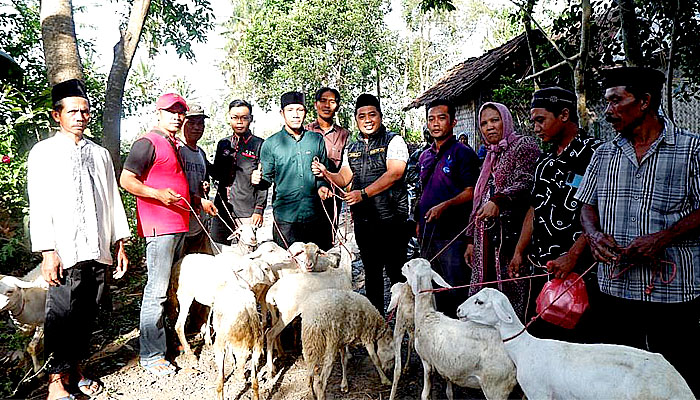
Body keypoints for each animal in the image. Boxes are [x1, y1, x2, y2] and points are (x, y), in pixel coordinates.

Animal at [402, 260, 516, 400]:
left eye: (408, 266)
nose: (402, 268)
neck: (426, 315)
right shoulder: (447, 367)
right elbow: (449, 392)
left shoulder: (426, 361)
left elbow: (425, 394)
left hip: (496, 387)